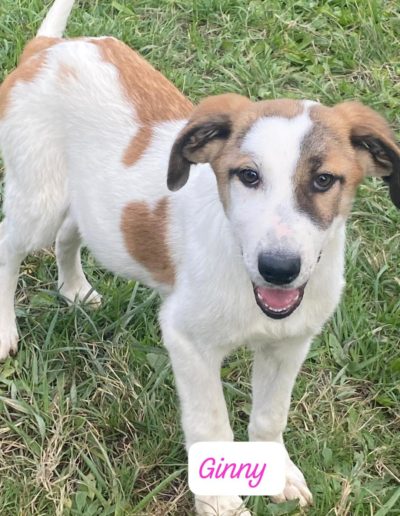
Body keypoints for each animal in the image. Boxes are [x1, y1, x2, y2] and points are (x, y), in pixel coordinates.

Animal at [0, 1, 399, 514]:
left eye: (325, 180)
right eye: (247, 176)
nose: (279, 269)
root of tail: (49, 49)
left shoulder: (290, 343)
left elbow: (270, 416)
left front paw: (277, 473)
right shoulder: (187, 340)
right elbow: (212, 424)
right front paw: (221, 501)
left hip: (85, 201)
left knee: (70, 234)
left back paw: (74, 290)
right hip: (38, 199)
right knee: (9, 247)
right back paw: (5, 329)